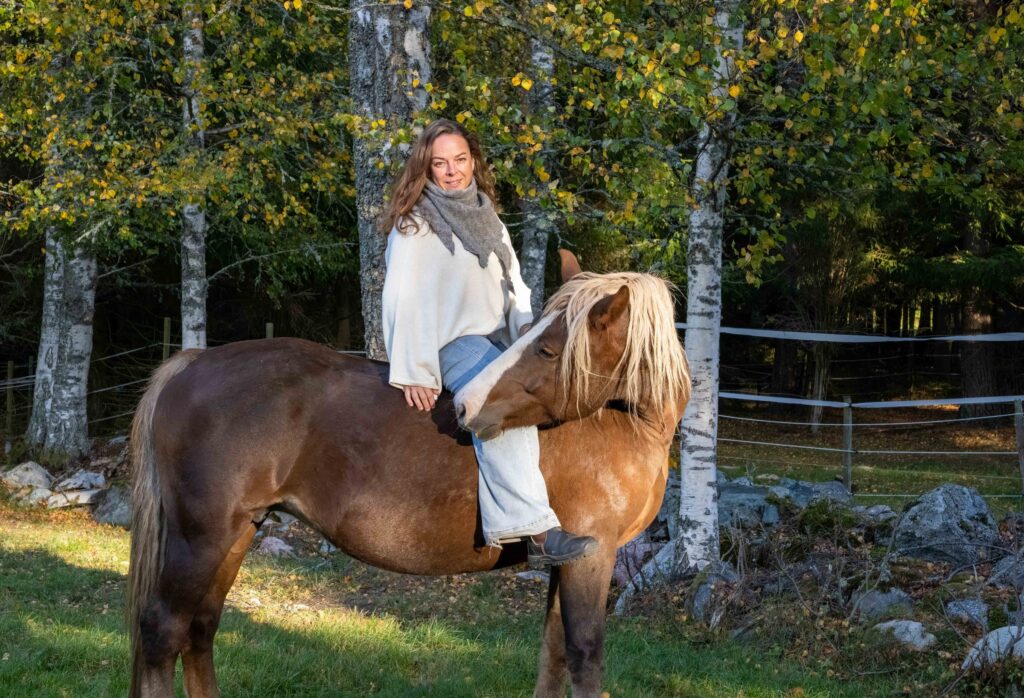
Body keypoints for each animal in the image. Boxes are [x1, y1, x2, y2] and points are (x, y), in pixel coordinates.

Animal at [126, 250, 690, 697]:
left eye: (547, 349)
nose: (466, 407)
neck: (621, 423)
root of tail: (193, 362)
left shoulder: (566, 563)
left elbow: (552, 655)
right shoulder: (591, 557)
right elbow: (583, 657)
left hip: (239, 531)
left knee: (200, 630)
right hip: (200, 537)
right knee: (162, 631)